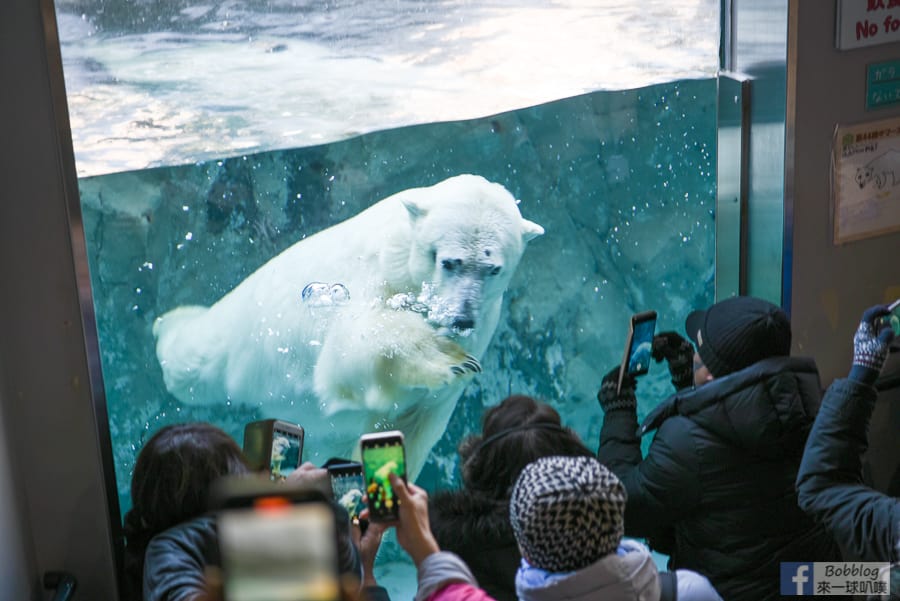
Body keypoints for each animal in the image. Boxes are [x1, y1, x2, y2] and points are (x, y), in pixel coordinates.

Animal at [154, 173, 540, 478]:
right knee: (190, 360)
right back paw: (168, 322)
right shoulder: (368, 276)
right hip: (239, 334)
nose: (462, 318)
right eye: (448, 262)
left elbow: (415, 422)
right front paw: (445, 357)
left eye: (493, 268)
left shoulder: (483, 327)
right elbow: (349, 345)